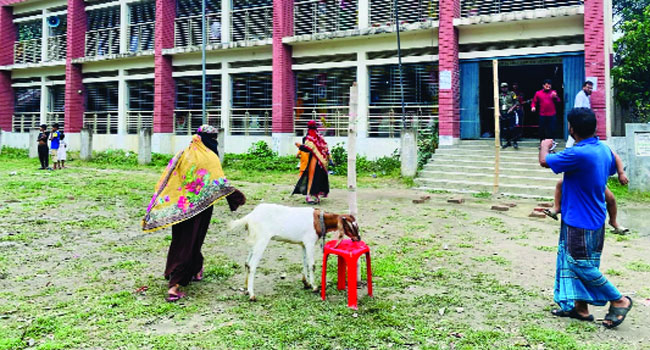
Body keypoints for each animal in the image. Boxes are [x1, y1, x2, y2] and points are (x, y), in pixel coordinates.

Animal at [228, 202, 360, 300]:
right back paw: (252, 294)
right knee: (252, 265)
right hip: (262, 240)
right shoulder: (310, 243)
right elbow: (312, 265)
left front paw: (306, 283)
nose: (358, 238)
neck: (318, 219)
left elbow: (304, 263)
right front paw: (314, 287)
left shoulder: (303, 244)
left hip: (254, 240)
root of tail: (250, 216)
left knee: (247, 262)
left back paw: (246, 289)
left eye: (356, 226)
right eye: (350, 226)